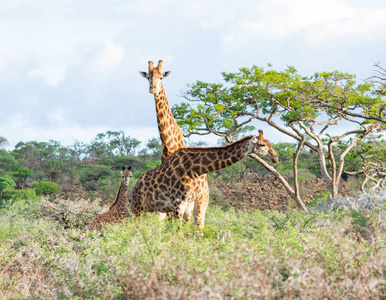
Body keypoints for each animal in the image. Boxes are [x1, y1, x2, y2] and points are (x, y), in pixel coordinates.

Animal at [130, 132, 278, 229]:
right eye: (262, 144)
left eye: (269, 143)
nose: (275, 158)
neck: (195, 169)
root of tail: (134, 188)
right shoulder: (178, 204)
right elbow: (177, 232)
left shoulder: (189, 205)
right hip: (137, 209)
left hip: (156, 211)